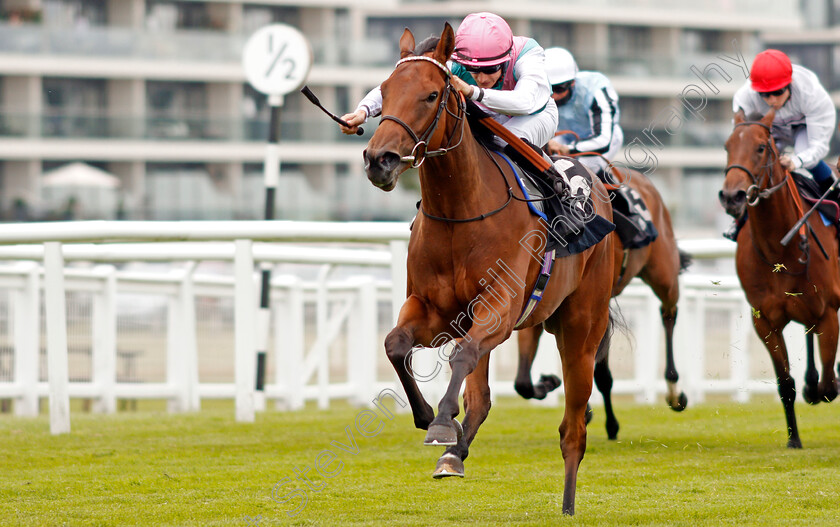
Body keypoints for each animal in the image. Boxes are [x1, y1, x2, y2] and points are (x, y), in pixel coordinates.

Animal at [364, 24, 612, 516]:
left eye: (432, 94)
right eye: (384, 90)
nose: (379, 159)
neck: (460, 211)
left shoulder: (498, 308)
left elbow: (460, 355)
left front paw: (442, 421)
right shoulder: (435, 311)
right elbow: (396, 344)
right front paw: (429, 418)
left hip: (581, 330)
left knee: (573, 429)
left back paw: (568, 503)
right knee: (481, 398)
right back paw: (453, 456)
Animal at [520, 169, 688, 442]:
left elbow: (599, 372)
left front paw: (605, 421)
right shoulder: (538, 301)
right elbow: (523, 380)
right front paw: (548, 384)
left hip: (664, 274)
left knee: (669, 313)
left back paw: (675, 392)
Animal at [716, 109, 840, 448]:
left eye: (761, 147)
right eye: (727, 145)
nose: (732, 196)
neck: (779, 248)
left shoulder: (828, 313)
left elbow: (829, 382)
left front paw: (824, 387)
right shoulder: (765, 321)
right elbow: (786, 383)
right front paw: (793, 439)